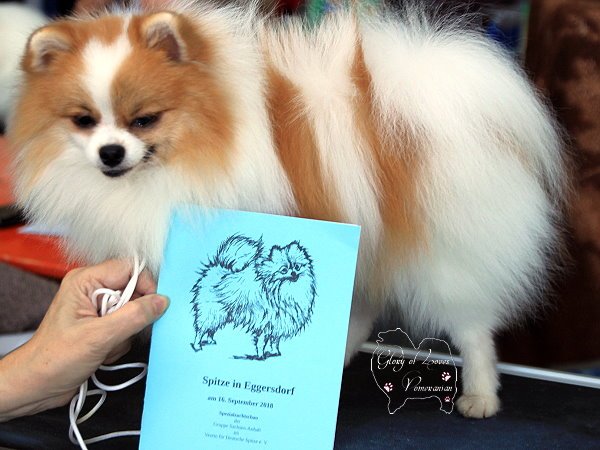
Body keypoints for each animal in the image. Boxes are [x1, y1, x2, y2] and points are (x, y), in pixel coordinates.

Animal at [7, 1, 568, 418]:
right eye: (83, 120)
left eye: (144, 120)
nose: (109, 153)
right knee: (364, 302)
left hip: (447, 260)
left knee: (473, 330)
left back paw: (479, 394)